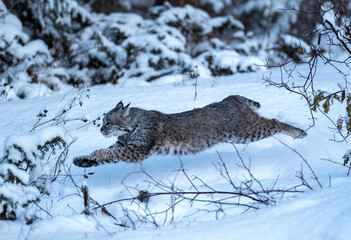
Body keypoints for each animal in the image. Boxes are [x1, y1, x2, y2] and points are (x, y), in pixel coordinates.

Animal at [73, 94, 306, 168]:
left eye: (108, 123)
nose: (101, 130)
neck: (132, 125)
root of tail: (228, 99)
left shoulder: (136, 150)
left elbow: (107, 152)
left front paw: (89, 157)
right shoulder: (125, 145)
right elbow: (107, 153)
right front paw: (82, 160)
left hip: (246, 131)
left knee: (275, 122)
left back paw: (300, 133)